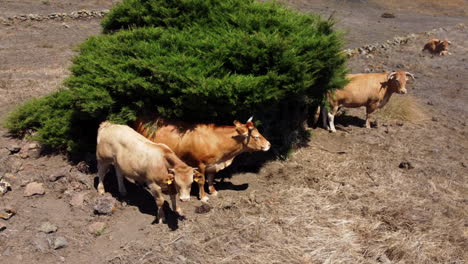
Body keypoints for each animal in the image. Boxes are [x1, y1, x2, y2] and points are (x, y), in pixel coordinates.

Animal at [133, 117, 270, 202]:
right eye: (256, 136)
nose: (269, 144)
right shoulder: (200, 164)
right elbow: (201, 181)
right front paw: (203, 197)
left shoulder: (213, 164)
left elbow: (210, 178)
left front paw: (213, 191)